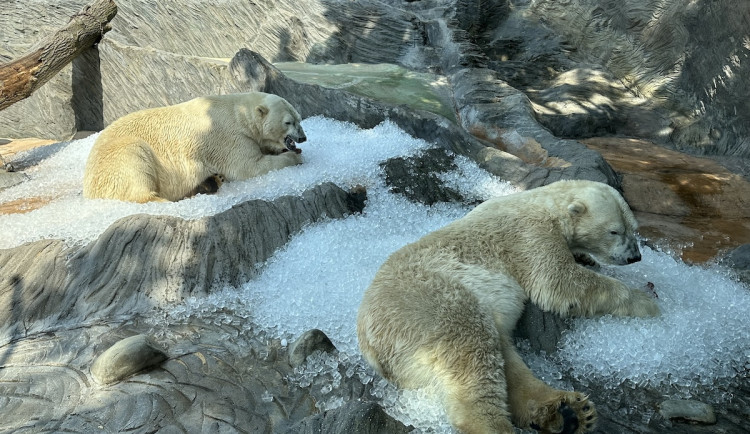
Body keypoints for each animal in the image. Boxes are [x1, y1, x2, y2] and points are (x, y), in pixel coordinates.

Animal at [82, 92, 306, 203]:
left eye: (299, 118)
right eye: (288, 122)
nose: (302, 138)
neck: (238, 111)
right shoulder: (228, 137)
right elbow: (249, 167)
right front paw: (295, 157)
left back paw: (211, 182)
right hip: (118, 157)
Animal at [360, 178, 664, 432]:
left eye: (634, 229)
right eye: (615, 231)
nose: (635, 256)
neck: (540, 202)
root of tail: (373, 348)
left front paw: (585, 257)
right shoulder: (529, 235)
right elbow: (559, 282)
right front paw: (645, 301)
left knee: (502, 355)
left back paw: (568, 411)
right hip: (431, 304)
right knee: (472, 354)